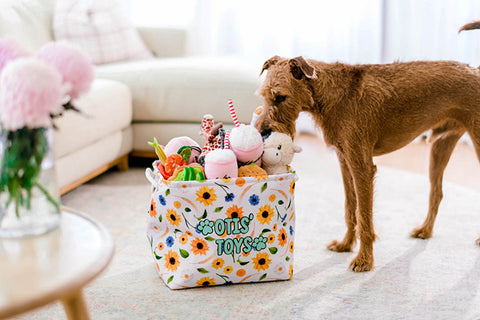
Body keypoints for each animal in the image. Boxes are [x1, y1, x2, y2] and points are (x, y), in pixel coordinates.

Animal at [256, 37, 480, 272]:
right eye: (264, 96)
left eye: (280, 97)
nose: (263, 132)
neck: (331, 95)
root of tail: (476, 70)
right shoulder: (345, 161)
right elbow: (350, 208)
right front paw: (345, 245)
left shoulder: (362, 167)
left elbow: (364, 216)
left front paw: (364, 260)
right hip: (440, 148)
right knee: (437, 193)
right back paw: (424, 230)